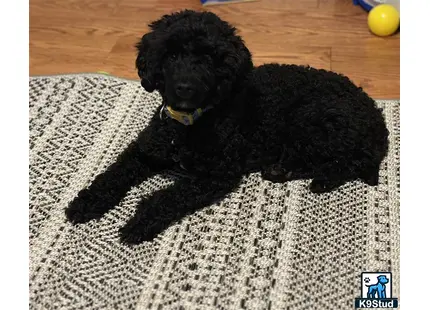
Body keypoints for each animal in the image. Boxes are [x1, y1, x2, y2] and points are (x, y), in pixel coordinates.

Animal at [66, 9, 390, 243]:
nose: (185, 88)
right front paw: (86, 202)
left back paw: (318, 179)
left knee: (345, 162)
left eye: (210, 58)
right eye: (171, 55)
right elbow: (113, 174)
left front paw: (139, 222)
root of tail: (376, 114)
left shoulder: (216, 174)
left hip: (313, 122)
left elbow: (167, 197)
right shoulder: (145, 149)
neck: (189, 124)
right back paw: (282, 170)